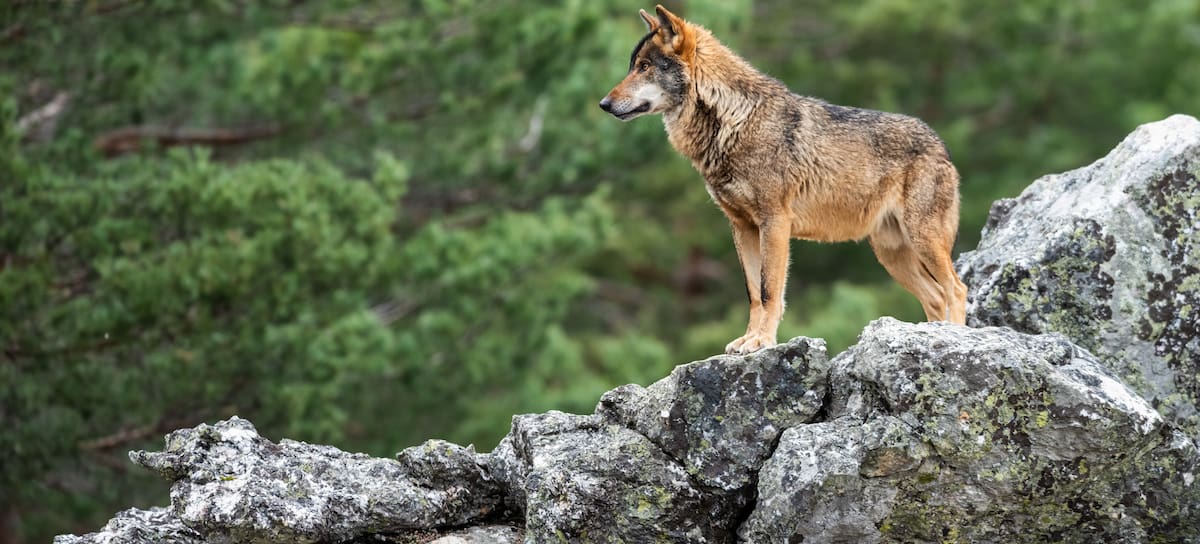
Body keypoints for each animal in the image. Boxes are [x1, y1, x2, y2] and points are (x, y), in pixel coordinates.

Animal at [600, 5, 968, 355]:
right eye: (634, 65)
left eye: (645, 66)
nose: (603, 104)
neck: (734, 121)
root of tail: (942, 145)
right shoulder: (742, 226)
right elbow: (752, 293)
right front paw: (747, 340)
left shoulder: (775, 222)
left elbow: (769, 290)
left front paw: (761, 342)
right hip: (892, 254)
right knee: (936, 296)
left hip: (922, 240)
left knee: (956, 288)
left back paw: (955, 337)